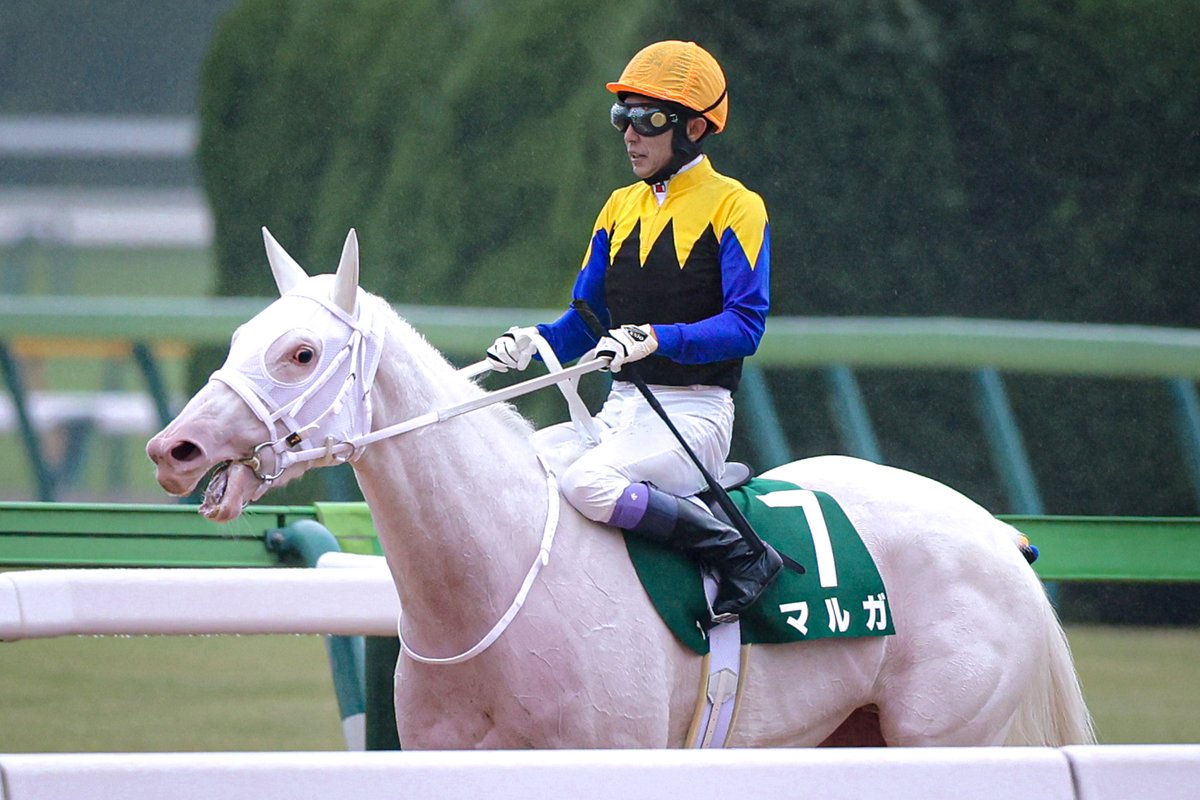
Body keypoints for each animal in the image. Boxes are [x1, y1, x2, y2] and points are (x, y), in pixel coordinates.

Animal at [147, 229, 1095, 749]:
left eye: (300, 353)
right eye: (241, 336)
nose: (173, 448)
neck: (497, 585)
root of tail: (999, 536)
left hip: (947, 733)